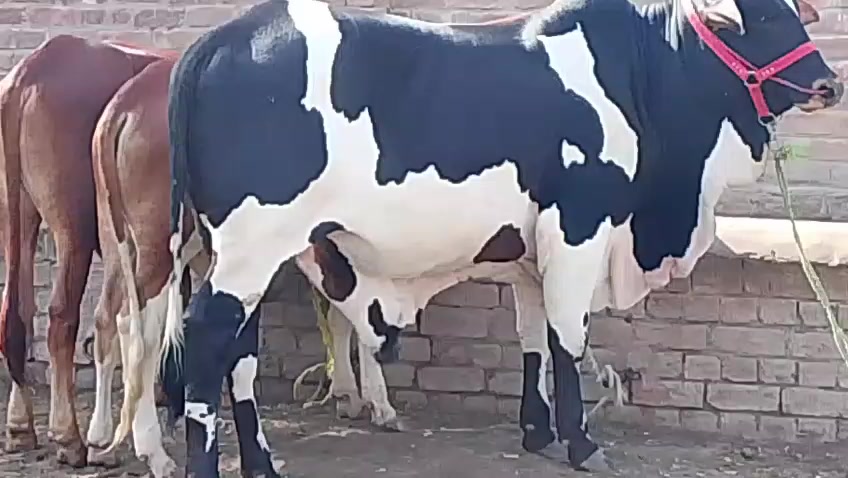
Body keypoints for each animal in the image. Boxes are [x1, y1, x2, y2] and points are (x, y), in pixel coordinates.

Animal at [0, 36, 169, 467]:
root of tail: (31, 68)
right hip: (73, 224)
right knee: (62, 316)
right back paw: (69, 436)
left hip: (18, 214)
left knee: (18, 312)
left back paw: (21, 427)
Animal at [160, 0, 843, 476]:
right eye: (759, 19)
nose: (827, 83)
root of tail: (223, 38)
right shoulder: (579, 225)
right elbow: (569, 336)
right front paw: (580, 442)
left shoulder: (530, 252)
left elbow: (533, 336)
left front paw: (537, 432)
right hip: (250, 249)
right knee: (208, 340)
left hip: (246, 254)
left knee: (241, 351)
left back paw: (260, 462)